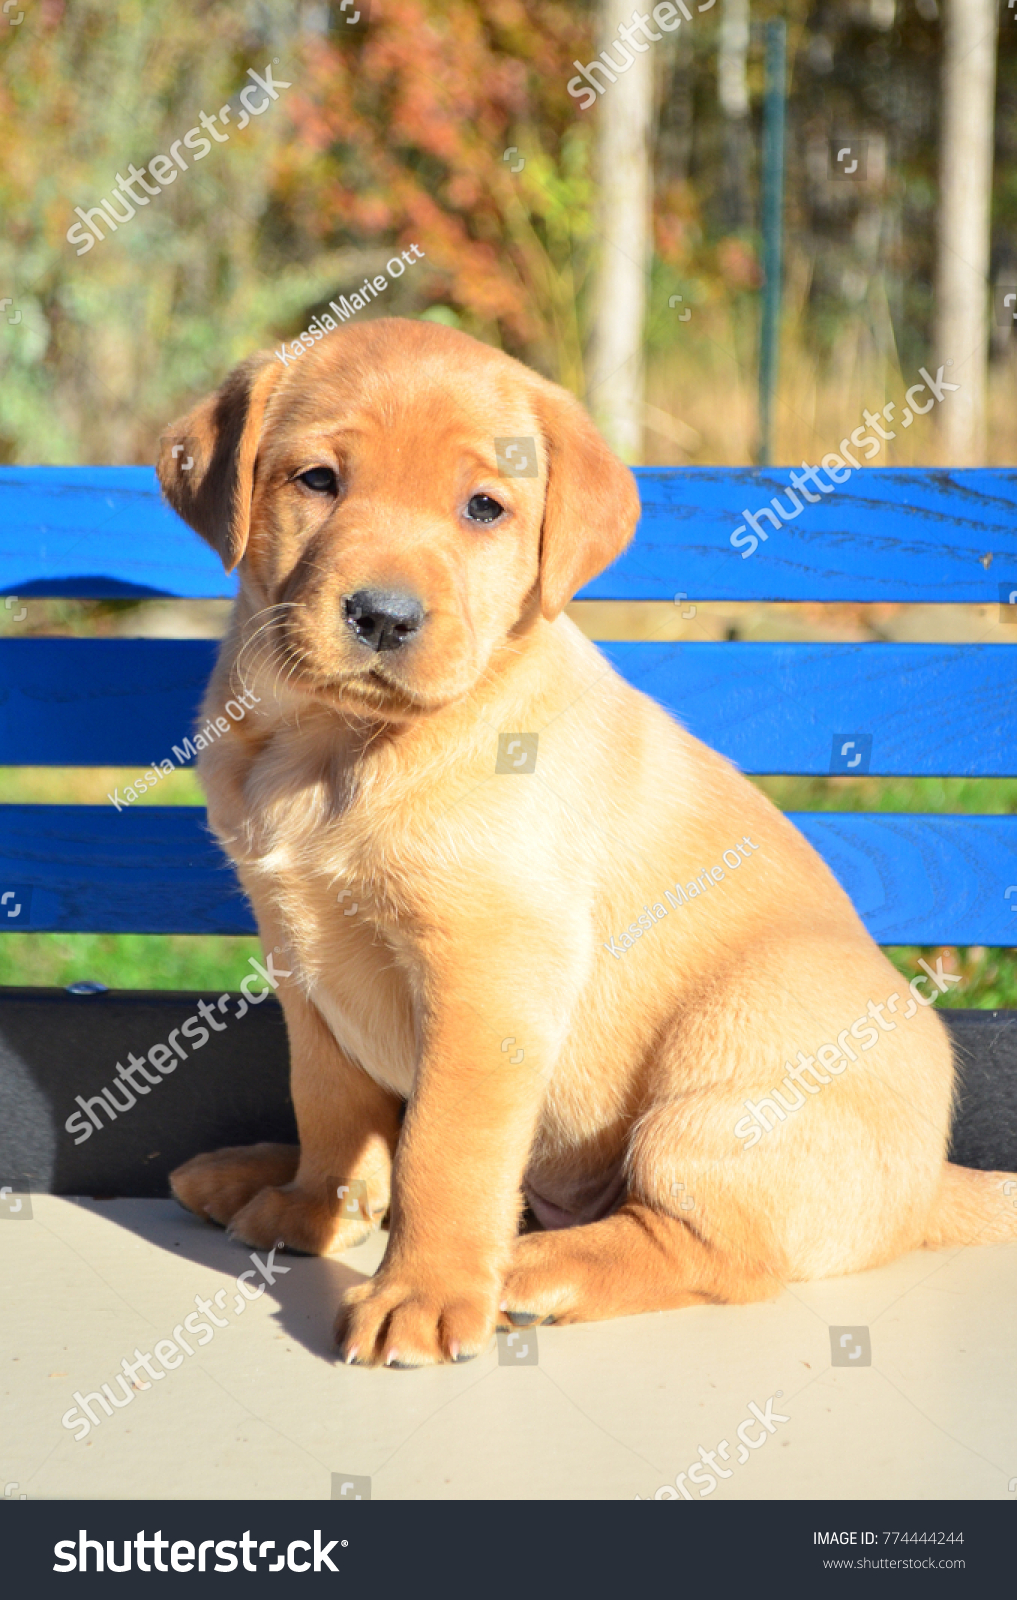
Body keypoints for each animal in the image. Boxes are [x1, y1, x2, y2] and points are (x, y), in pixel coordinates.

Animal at [159, 318, 1017, 1369]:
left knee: (716, 1253)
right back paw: (255, 1175)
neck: (334, 746)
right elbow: (329, 1098)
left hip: (727, 1065)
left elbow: (444, 1147)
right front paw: (318, 1206)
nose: (384, 616)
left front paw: (422, 1291)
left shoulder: (492, 968)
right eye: (317, 480)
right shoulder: (296, 949)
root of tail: (929, 1183)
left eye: (484, 507)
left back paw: (533, 1273)